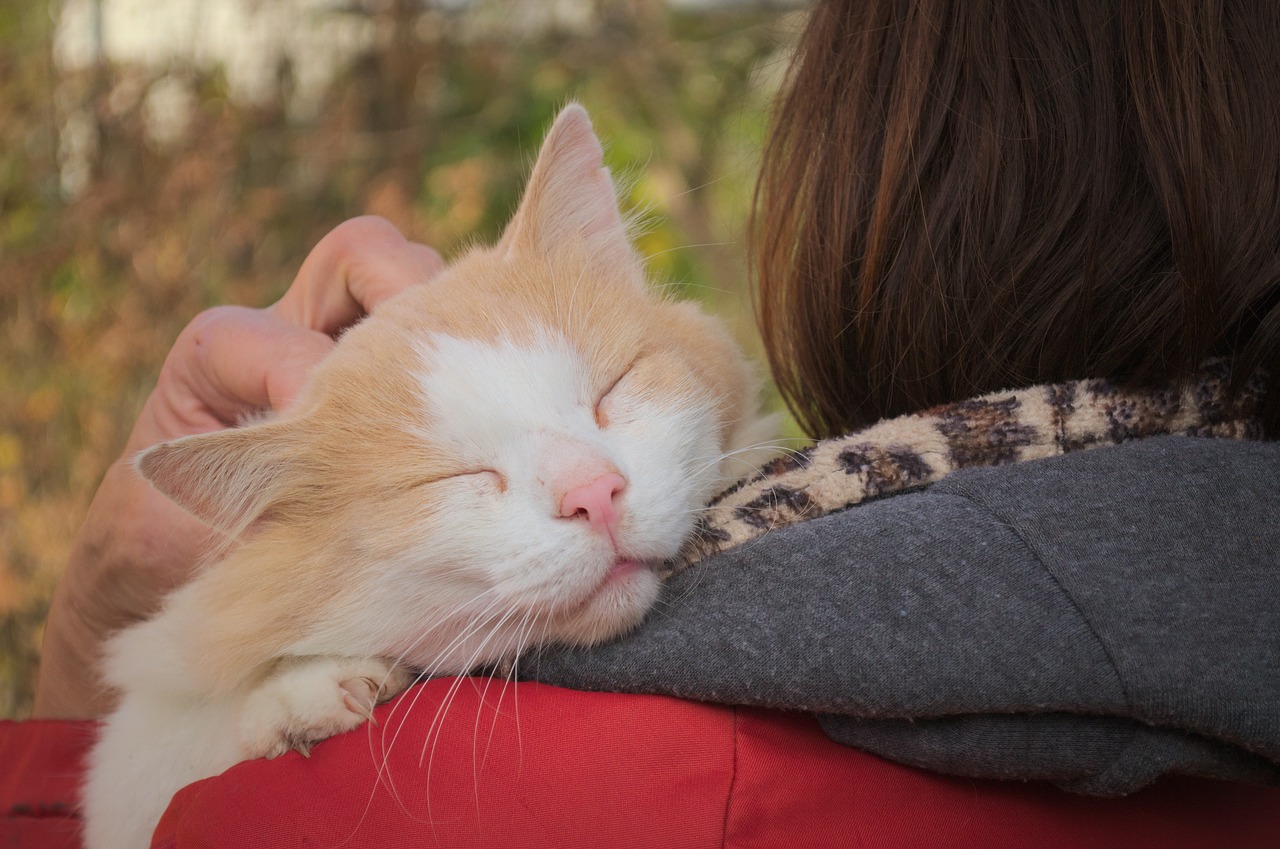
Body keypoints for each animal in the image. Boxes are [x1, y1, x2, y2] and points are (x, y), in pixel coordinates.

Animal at [82, 104, 778, 849]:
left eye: (611, 391)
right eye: (459, 478)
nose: (594, 494)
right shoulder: (147, 706)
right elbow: (180, 732)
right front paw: (298, 695)